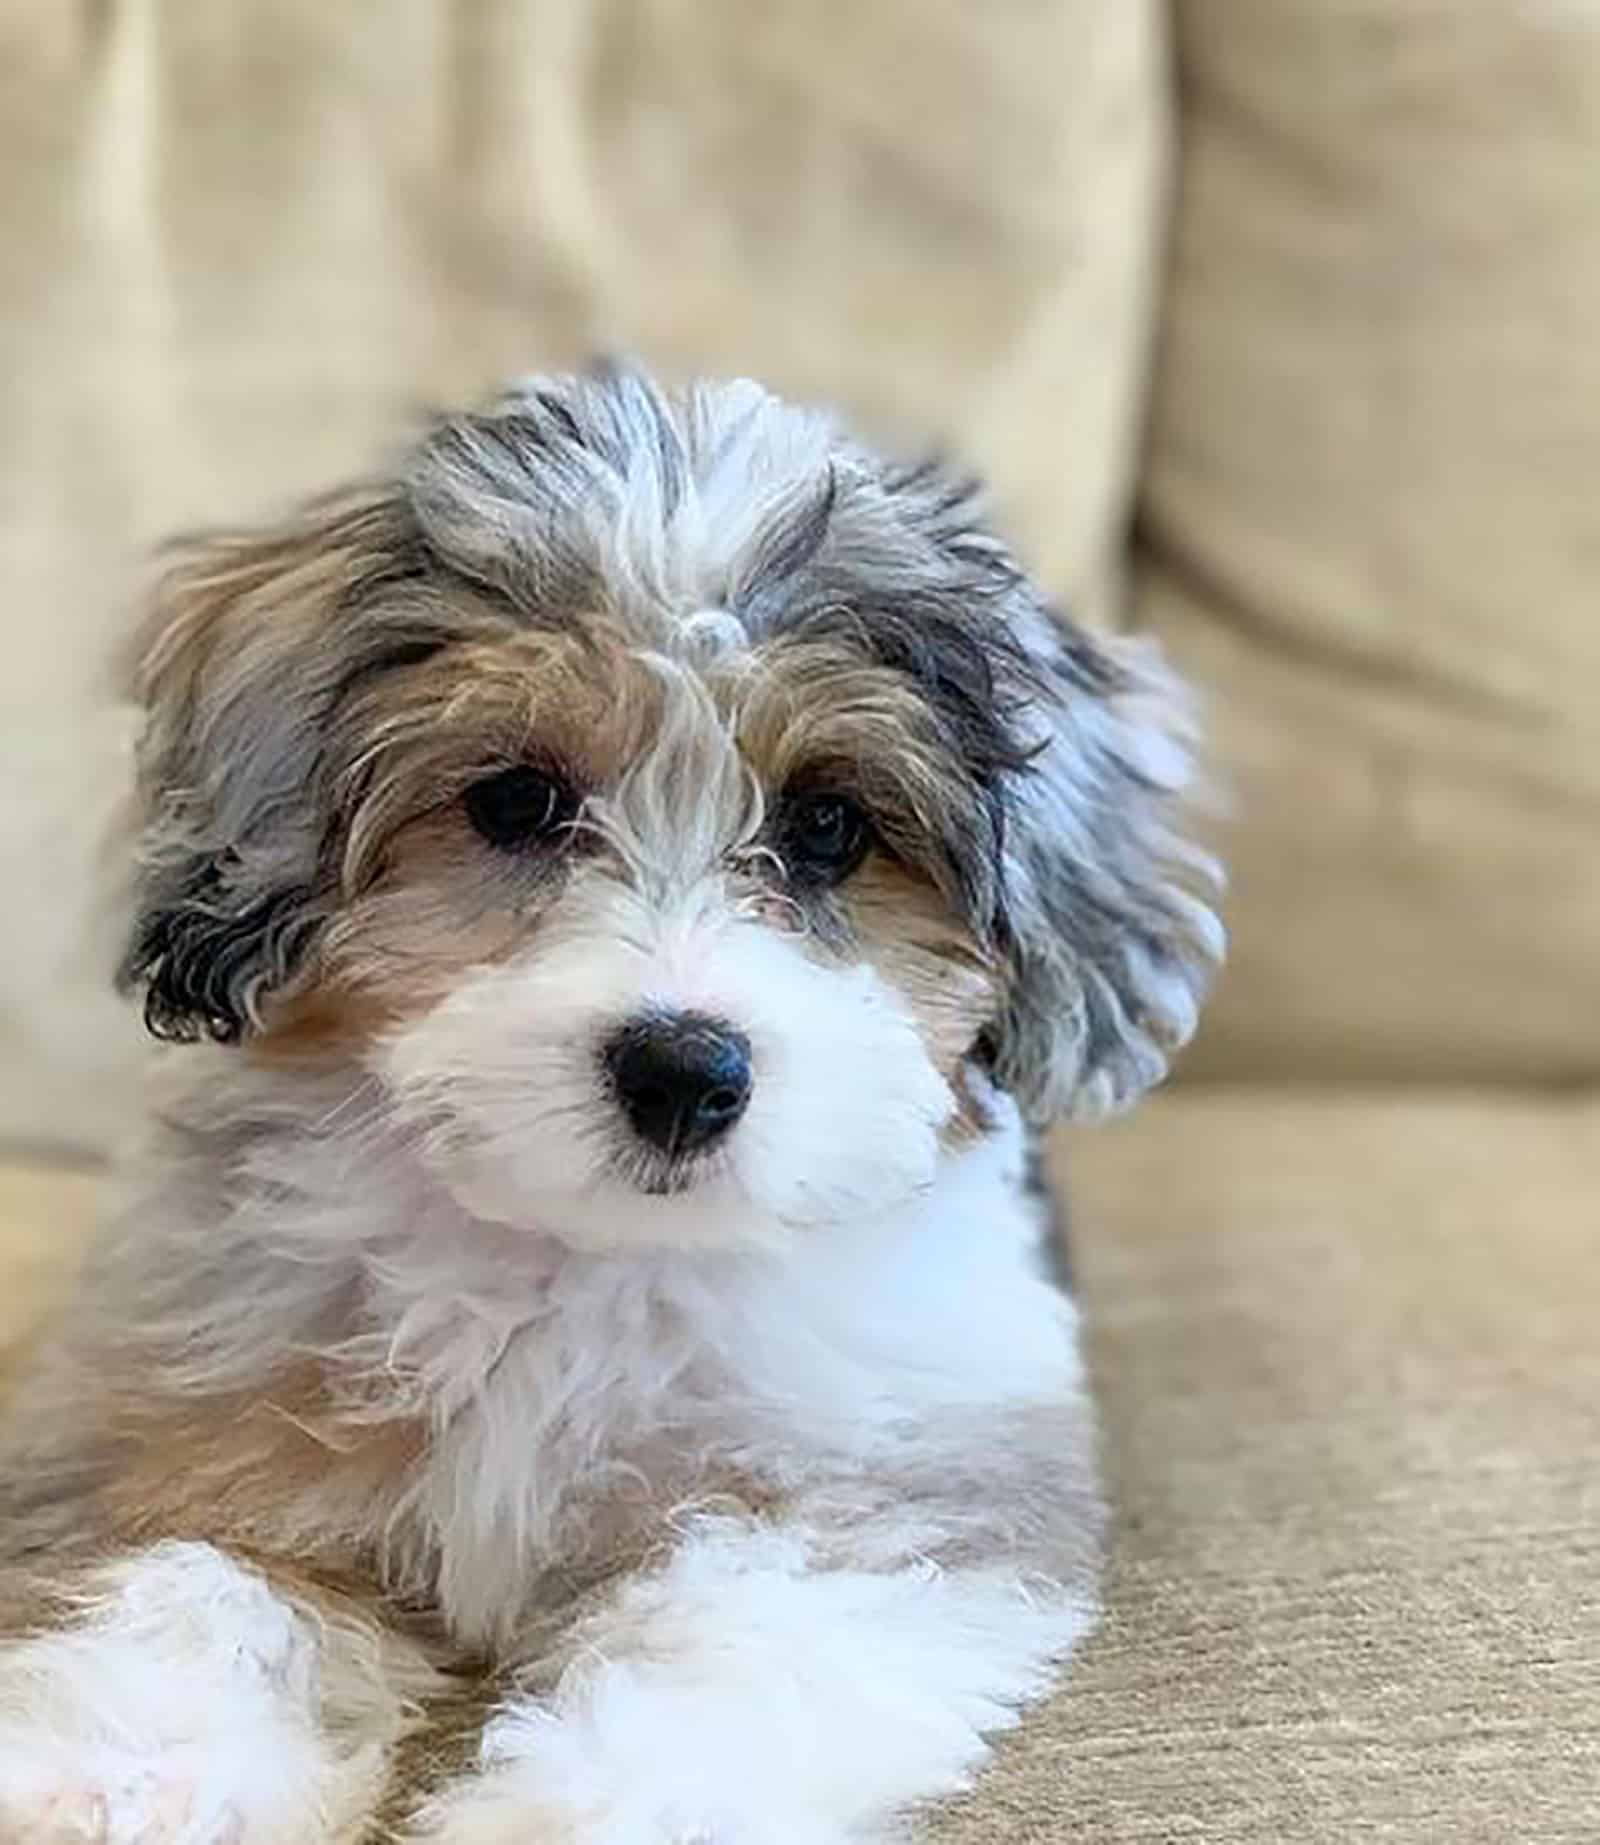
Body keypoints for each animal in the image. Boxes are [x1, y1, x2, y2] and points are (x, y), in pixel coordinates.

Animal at [0, 367, 1217, 1837]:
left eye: (828, 828)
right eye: (518, 801)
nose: (684, 1070)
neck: (574, 1254)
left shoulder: (875, 1502)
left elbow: (733, 1655)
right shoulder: (177, 1452)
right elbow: (193, 1601)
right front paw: (114, 1776)